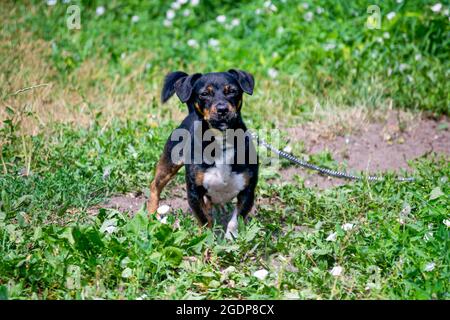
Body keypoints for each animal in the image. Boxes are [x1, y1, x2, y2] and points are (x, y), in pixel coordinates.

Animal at [148, 70, 258, 239]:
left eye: (232, 91)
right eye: (204, 94)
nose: (222, 109)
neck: (221, 142)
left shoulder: (248, 191)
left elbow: (236, 219)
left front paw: (231, 238)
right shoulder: (194, 192)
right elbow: (204, 219)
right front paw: (206, 238)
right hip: (170, 162)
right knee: (155, 185)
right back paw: (152, 214)